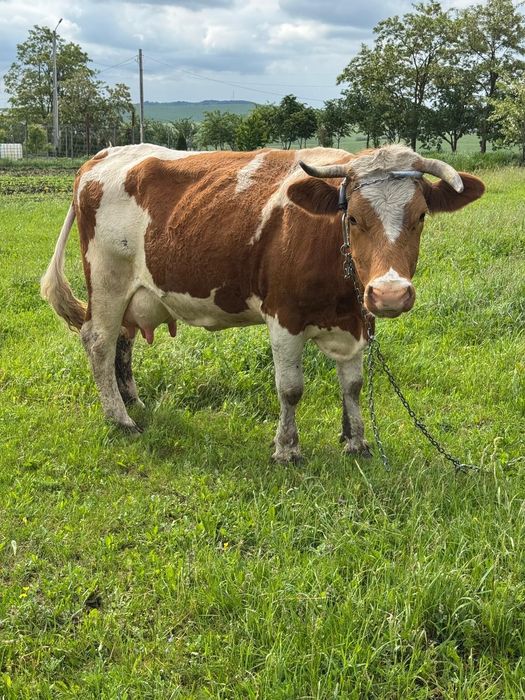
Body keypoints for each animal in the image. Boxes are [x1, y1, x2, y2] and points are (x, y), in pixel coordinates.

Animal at [41, 144, 484, 461]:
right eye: (354, 217)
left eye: (421, 216)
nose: (390, 293)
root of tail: (100, 156)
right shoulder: (283, 316)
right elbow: (290, 388)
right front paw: (286, 448)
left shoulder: (357, 319)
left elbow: (353, 384)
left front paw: (356, 441)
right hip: (107, 280)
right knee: (99, 341)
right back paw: (120, 418)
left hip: (133, 291)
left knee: (124, 339)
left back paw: (132, 400)